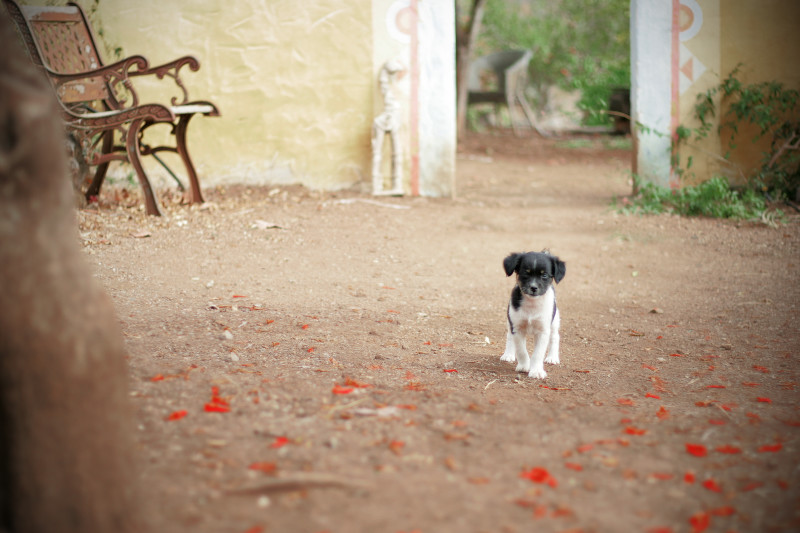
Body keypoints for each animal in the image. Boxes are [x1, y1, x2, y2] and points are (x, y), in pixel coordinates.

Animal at [500, 250, 568, 378]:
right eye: (525, 273)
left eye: (544, 275)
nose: (533, 288)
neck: (532, 304)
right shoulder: (517, 327)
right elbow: (521, 350)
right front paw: (524, 366)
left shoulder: (543, 331)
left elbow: (538, 354)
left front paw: (536, 371)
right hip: (509, 321)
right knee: (509, 337)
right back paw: (508, 354)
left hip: (554, 321)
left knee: (555, 337)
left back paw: (552, 357)